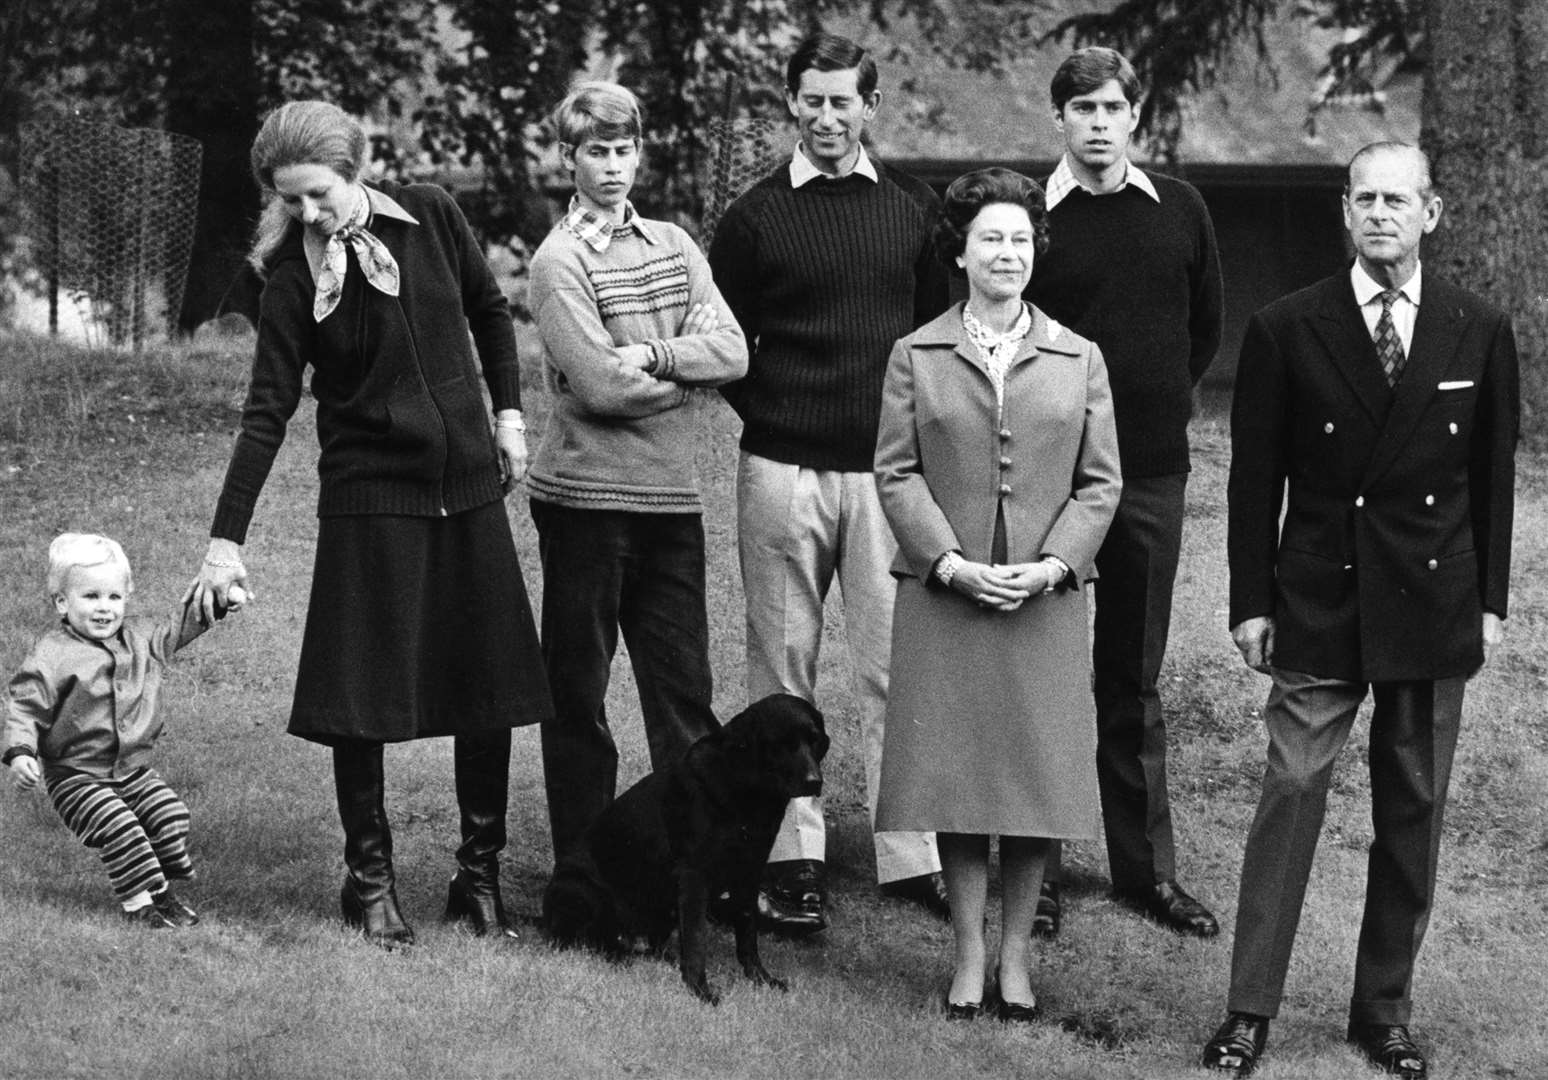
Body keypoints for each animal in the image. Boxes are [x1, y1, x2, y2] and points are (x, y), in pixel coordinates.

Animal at [547, 690, 835, 1002]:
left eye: (814, 739)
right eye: (782, 744)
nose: (814, 781)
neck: (748, 795)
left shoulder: (749, 872)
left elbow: (748, 935)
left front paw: (760, 979)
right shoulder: (694, 874)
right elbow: (697, 938)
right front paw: (700, 990)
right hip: (582, 890)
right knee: (588, 941)